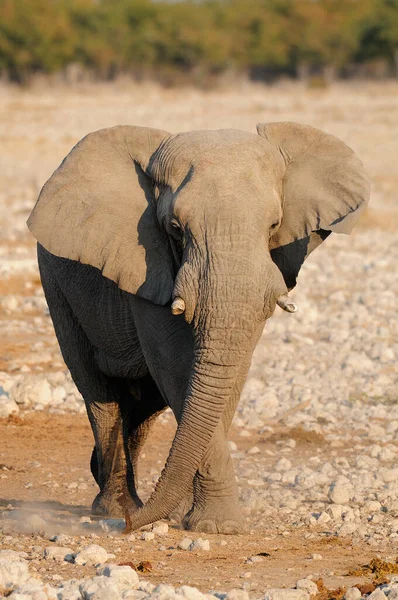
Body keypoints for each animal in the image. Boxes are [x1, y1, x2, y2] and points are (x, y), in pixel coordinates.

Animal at [27, 122, 370, 536]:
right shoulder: (147, 265)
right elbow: (176, 366)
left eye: (274, 225)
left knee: (144, 406)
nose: (128, 526)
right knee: (98, 391)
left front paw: (198, 519)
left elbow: (228, 373)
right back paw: (115, 507)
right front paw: (214, 526)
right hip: (56, 289)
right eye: (175, 228)